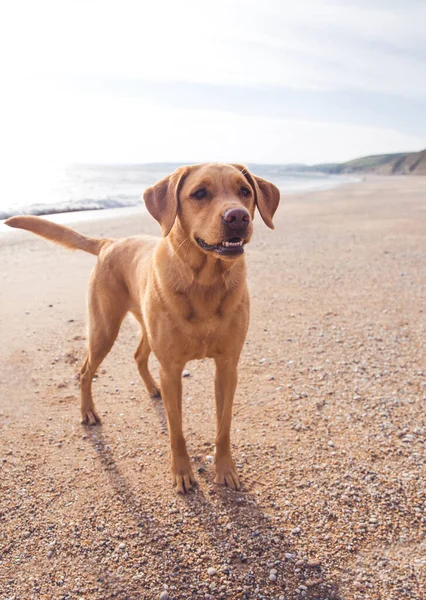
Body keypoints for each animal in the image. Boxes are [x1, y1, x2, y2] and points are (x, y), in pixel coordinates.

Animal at [7, 163, 280, 492]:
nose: (238, 216)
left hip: (143, 327)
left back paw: (152, 389)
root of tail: (110, 243)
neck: (205, 282)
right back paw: (88, 411)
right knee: (85, 371)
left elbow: (223, 426)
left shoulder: (228, 366)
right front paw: (182, 472)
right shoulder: (172, 370)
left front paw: (225, 469)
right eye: (199, 193)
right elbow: (176, 430)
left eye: (245, 191)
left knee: (138, 356)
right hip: (104, 329)